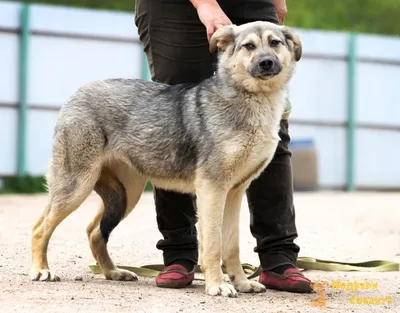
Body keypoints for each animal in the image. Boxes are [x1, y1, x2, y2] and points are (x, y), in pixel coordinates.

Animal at [29, 20, 302, 296]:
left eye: (274, 43)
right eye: (249, 46)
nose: (266, 62)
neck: (251, 99)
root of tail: (77, 93)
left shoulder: (234, 193)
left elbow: (231, 246)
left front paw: (241, 283)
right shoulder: (212, 190)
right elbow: (213, 245)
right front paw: (217, 285)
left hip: (127, 195)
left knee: (94, 232)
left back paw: (113, 273)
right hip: (76, 187)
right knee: (40, 228)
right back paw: (41, 270)